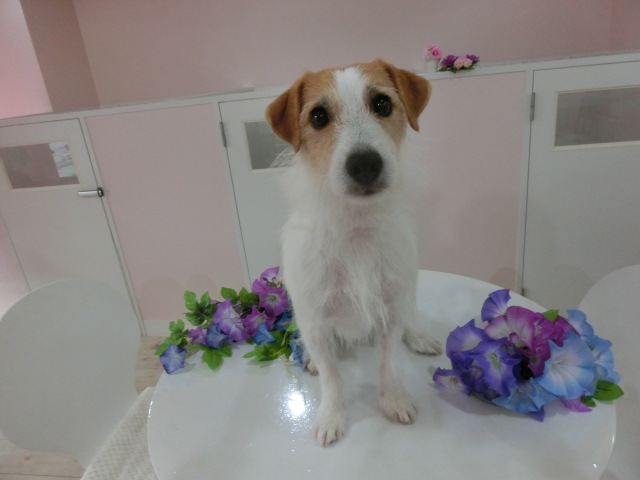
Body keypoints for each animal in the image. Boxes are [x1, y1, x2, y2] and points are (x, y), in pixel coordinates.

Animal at [265, 59, 441, 446]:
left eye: (382, 104)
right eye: (318, 116)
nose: (365, 164)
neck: (355, 229)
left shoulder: (390, 307)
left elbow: (389, 362)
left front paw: (394, 399)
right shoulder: (315, 319)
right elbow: (332, 377)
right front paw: (332, 415)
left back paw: (418, 336)